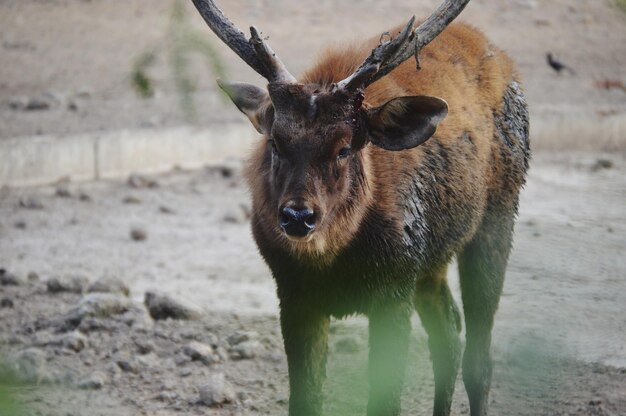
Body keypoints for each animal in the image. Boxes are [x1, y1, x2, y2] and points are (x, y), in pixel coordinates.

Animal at [189, 0, 528, 416]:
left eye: (344, 147)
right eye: (275, 143)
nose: (298, 217)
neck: (335, 261)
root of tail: (503, 57)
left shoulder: (393, 289)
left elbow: (384, 400)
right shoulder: (293, 292)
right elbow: (304, 399)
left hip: (499, 214)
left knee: (478, 355)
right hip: (430, 263)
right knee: (449, 330)